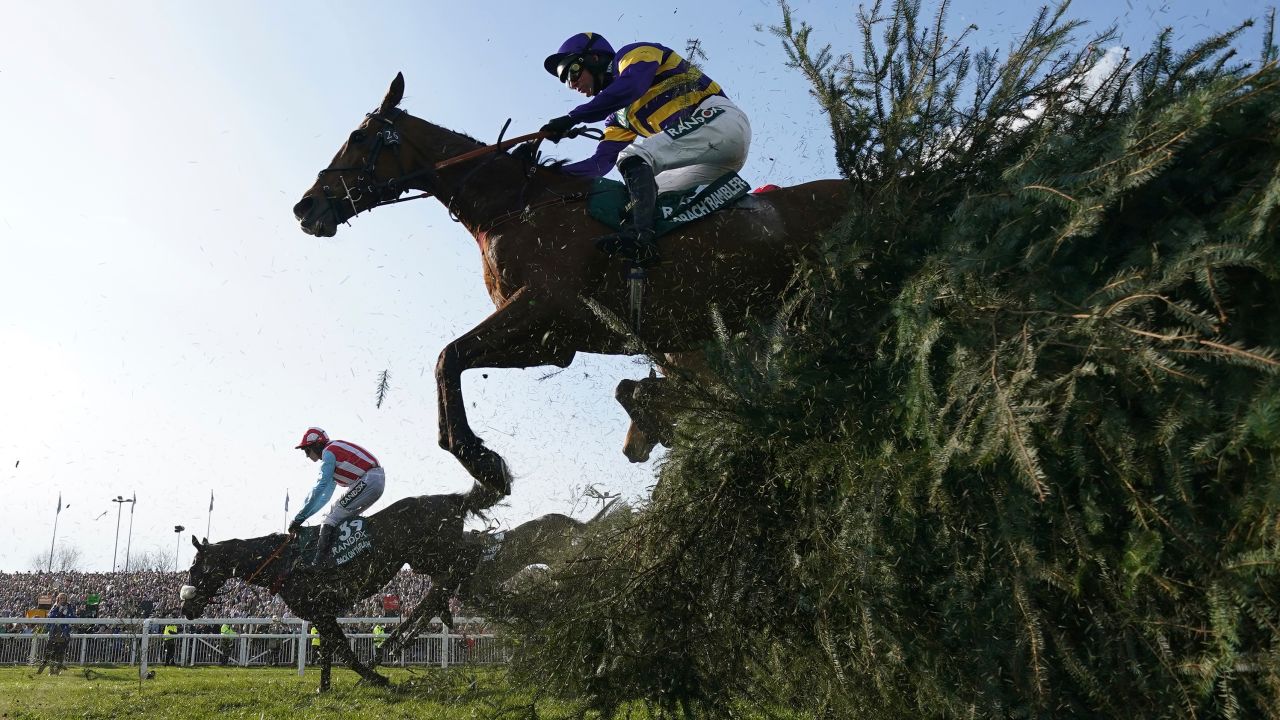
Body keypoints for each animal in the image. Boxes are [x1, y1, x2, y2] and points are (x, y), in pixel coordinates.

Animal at [180, 481, 614, 691]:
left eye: (195, 569)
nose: (186, 608)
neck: (285, 560)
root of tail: (450, 499)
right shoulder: (320, 612)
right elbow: (330, 650)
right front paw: (325, 687)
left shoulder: (321, 608)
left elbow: (345, 651)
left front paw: (376, 677)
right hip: (431, 557)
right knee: (466, 576)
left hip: (430, 554)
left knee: (466, 567)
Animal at [293, 73, 849, 489]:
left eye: (359, 137)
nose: (306, 206)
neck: (515, 206)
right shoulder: (554, 340)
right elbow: (455, 359)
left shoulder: (546, 306)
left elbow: (447, 356)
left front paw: (480, 461)